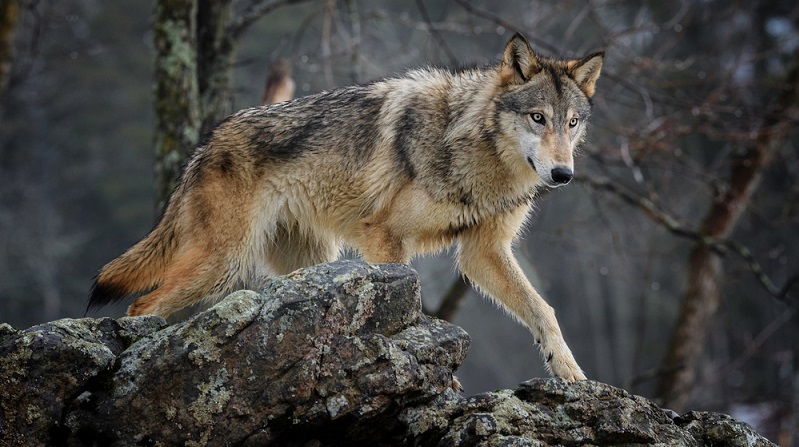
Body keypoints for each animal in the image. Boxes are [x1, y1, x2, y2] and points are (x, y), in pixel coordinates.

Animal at [89, 33, 603, 381]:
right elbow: (412, 308)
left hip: (313, 265)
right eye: (537, 118)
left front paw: (571, 375)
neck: (471, 149)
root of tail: (206, 143)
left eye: (571, 123)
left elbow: (543, 311)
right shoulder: (385, 236)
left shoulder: (483, 252)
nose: (563, 174)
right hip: (222, 263)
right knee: (140, 305)